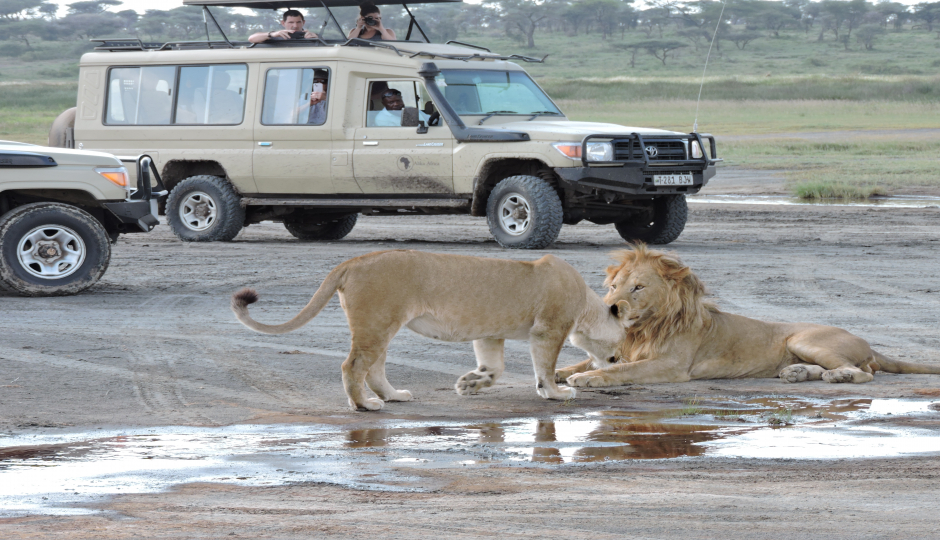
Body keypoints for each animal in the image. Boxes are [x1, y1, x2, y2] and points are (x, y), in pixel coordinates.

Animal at [231, 251, 628, 412]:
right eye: (624, 341)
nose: (619, 359)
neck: (587, 305)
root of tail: (352, 261)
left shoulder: (489, 332)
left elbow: (495, 367)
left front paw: (470, 384)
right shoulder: (548, 330)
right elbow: (545, 367)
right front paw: (556, 393)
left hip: (382, 325)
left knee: (374, 368)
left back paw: (393, 395)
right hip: (377, 322)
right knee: (353, 366)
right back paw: (364, 405)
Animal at [556, 243, 940, 386]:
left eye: (637, 287)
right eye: (612, 286)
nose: (610, 307)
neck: (645, 328)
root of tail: (870, 343)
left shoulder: (671, 366)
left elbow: (621, 370)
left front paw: (587, 378)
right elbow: (585, 361)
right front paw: (561, 372)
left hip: (806, 339)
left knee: (864, 373)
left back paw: (838, 377)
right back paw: (797, 373)